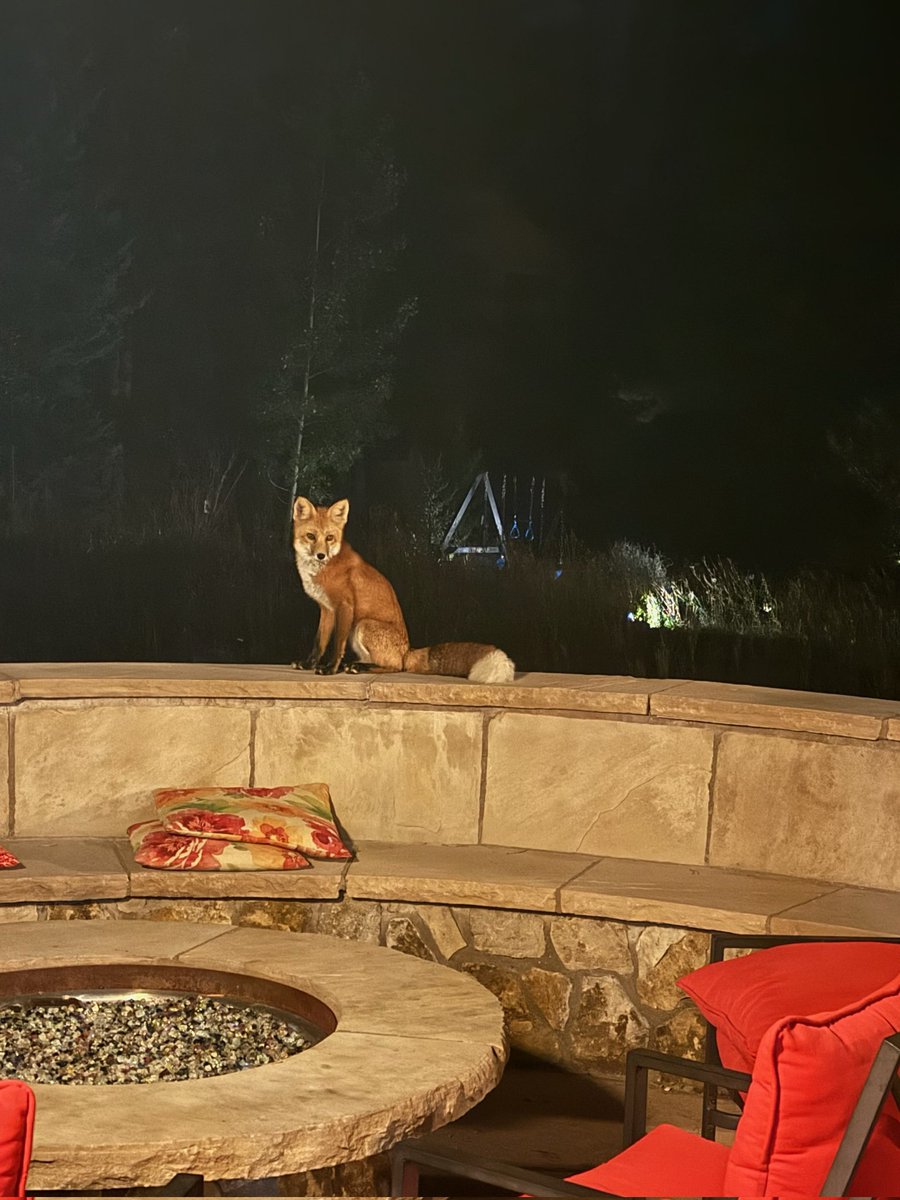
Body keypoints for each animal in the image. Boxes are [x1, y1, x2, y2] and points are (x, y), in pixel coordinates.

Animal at [291, 496, 515, 683]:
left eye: (329, 538)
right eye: (311, 536)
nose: (320, 555)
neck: (323, 568)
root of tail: (408, 650)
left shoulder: (345, 606)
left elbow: (337, 644)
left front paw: (330, 668)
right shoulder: (327, 609)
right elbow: (319, 642)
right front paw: (309, 664)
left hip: (363, 624)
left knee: (396, 666)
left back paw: (359, 667)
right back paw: (355, 665)